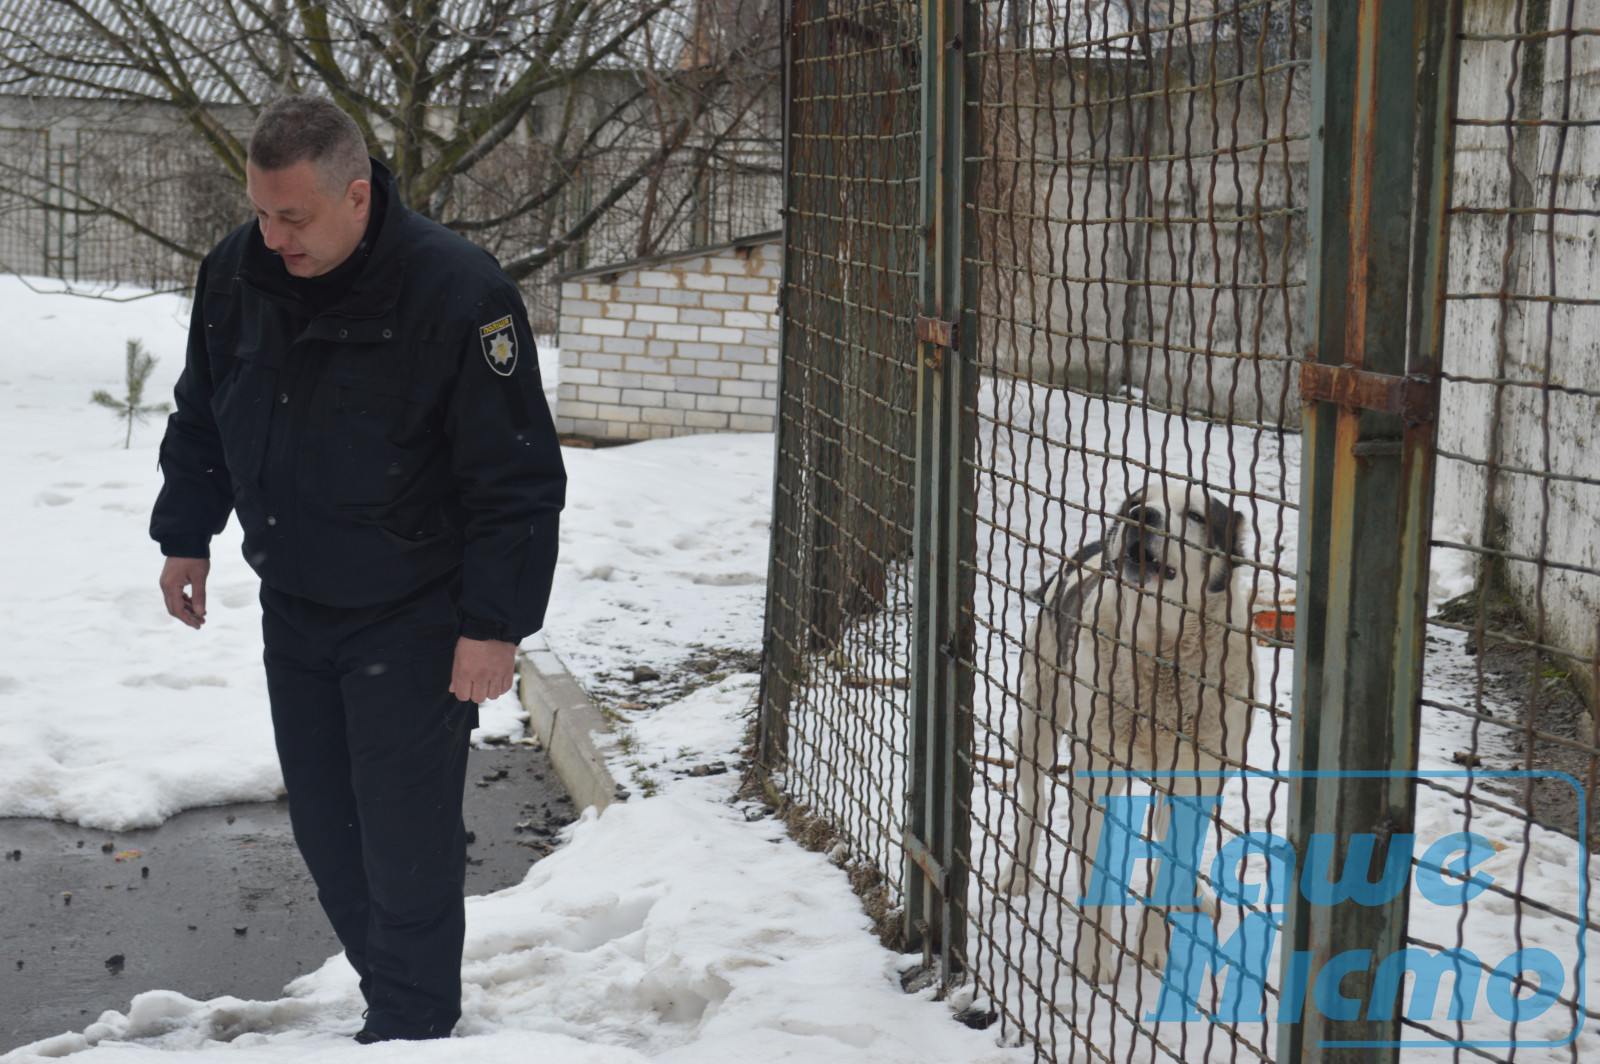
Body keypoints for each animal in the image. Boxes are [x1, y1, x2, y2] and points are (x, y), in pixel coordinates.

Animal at [998, 473, 1248, 979]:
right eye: (1138, 501)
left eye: (1195, 515)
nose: (1139, 516)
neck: (1162, 650)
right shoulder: (1097, 775)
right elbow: (1096, 868)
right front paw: (1092, 960)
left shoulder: (1193, 779)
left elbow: (1167, 866)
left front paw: (1153, 950)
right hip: (1038, 722)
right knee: (1032, 804)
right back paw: (1018, 872)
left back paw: (1192, 895)